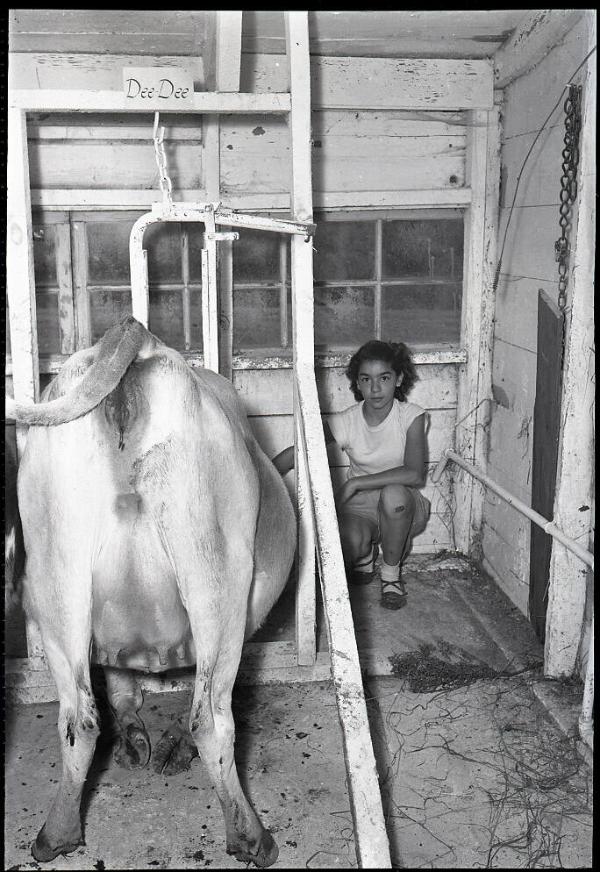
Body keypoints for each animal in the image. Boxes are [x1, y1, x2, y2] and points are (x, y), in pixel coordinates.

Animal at [7, 316, 298, 868]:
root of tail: (135, 335)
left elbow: (118, 685)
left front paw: (135, 737)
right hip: (214, 579)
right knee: (211, 716)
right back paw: (251, 836)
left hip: (57, 577)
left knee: (78, 719)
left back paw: (57, 834)